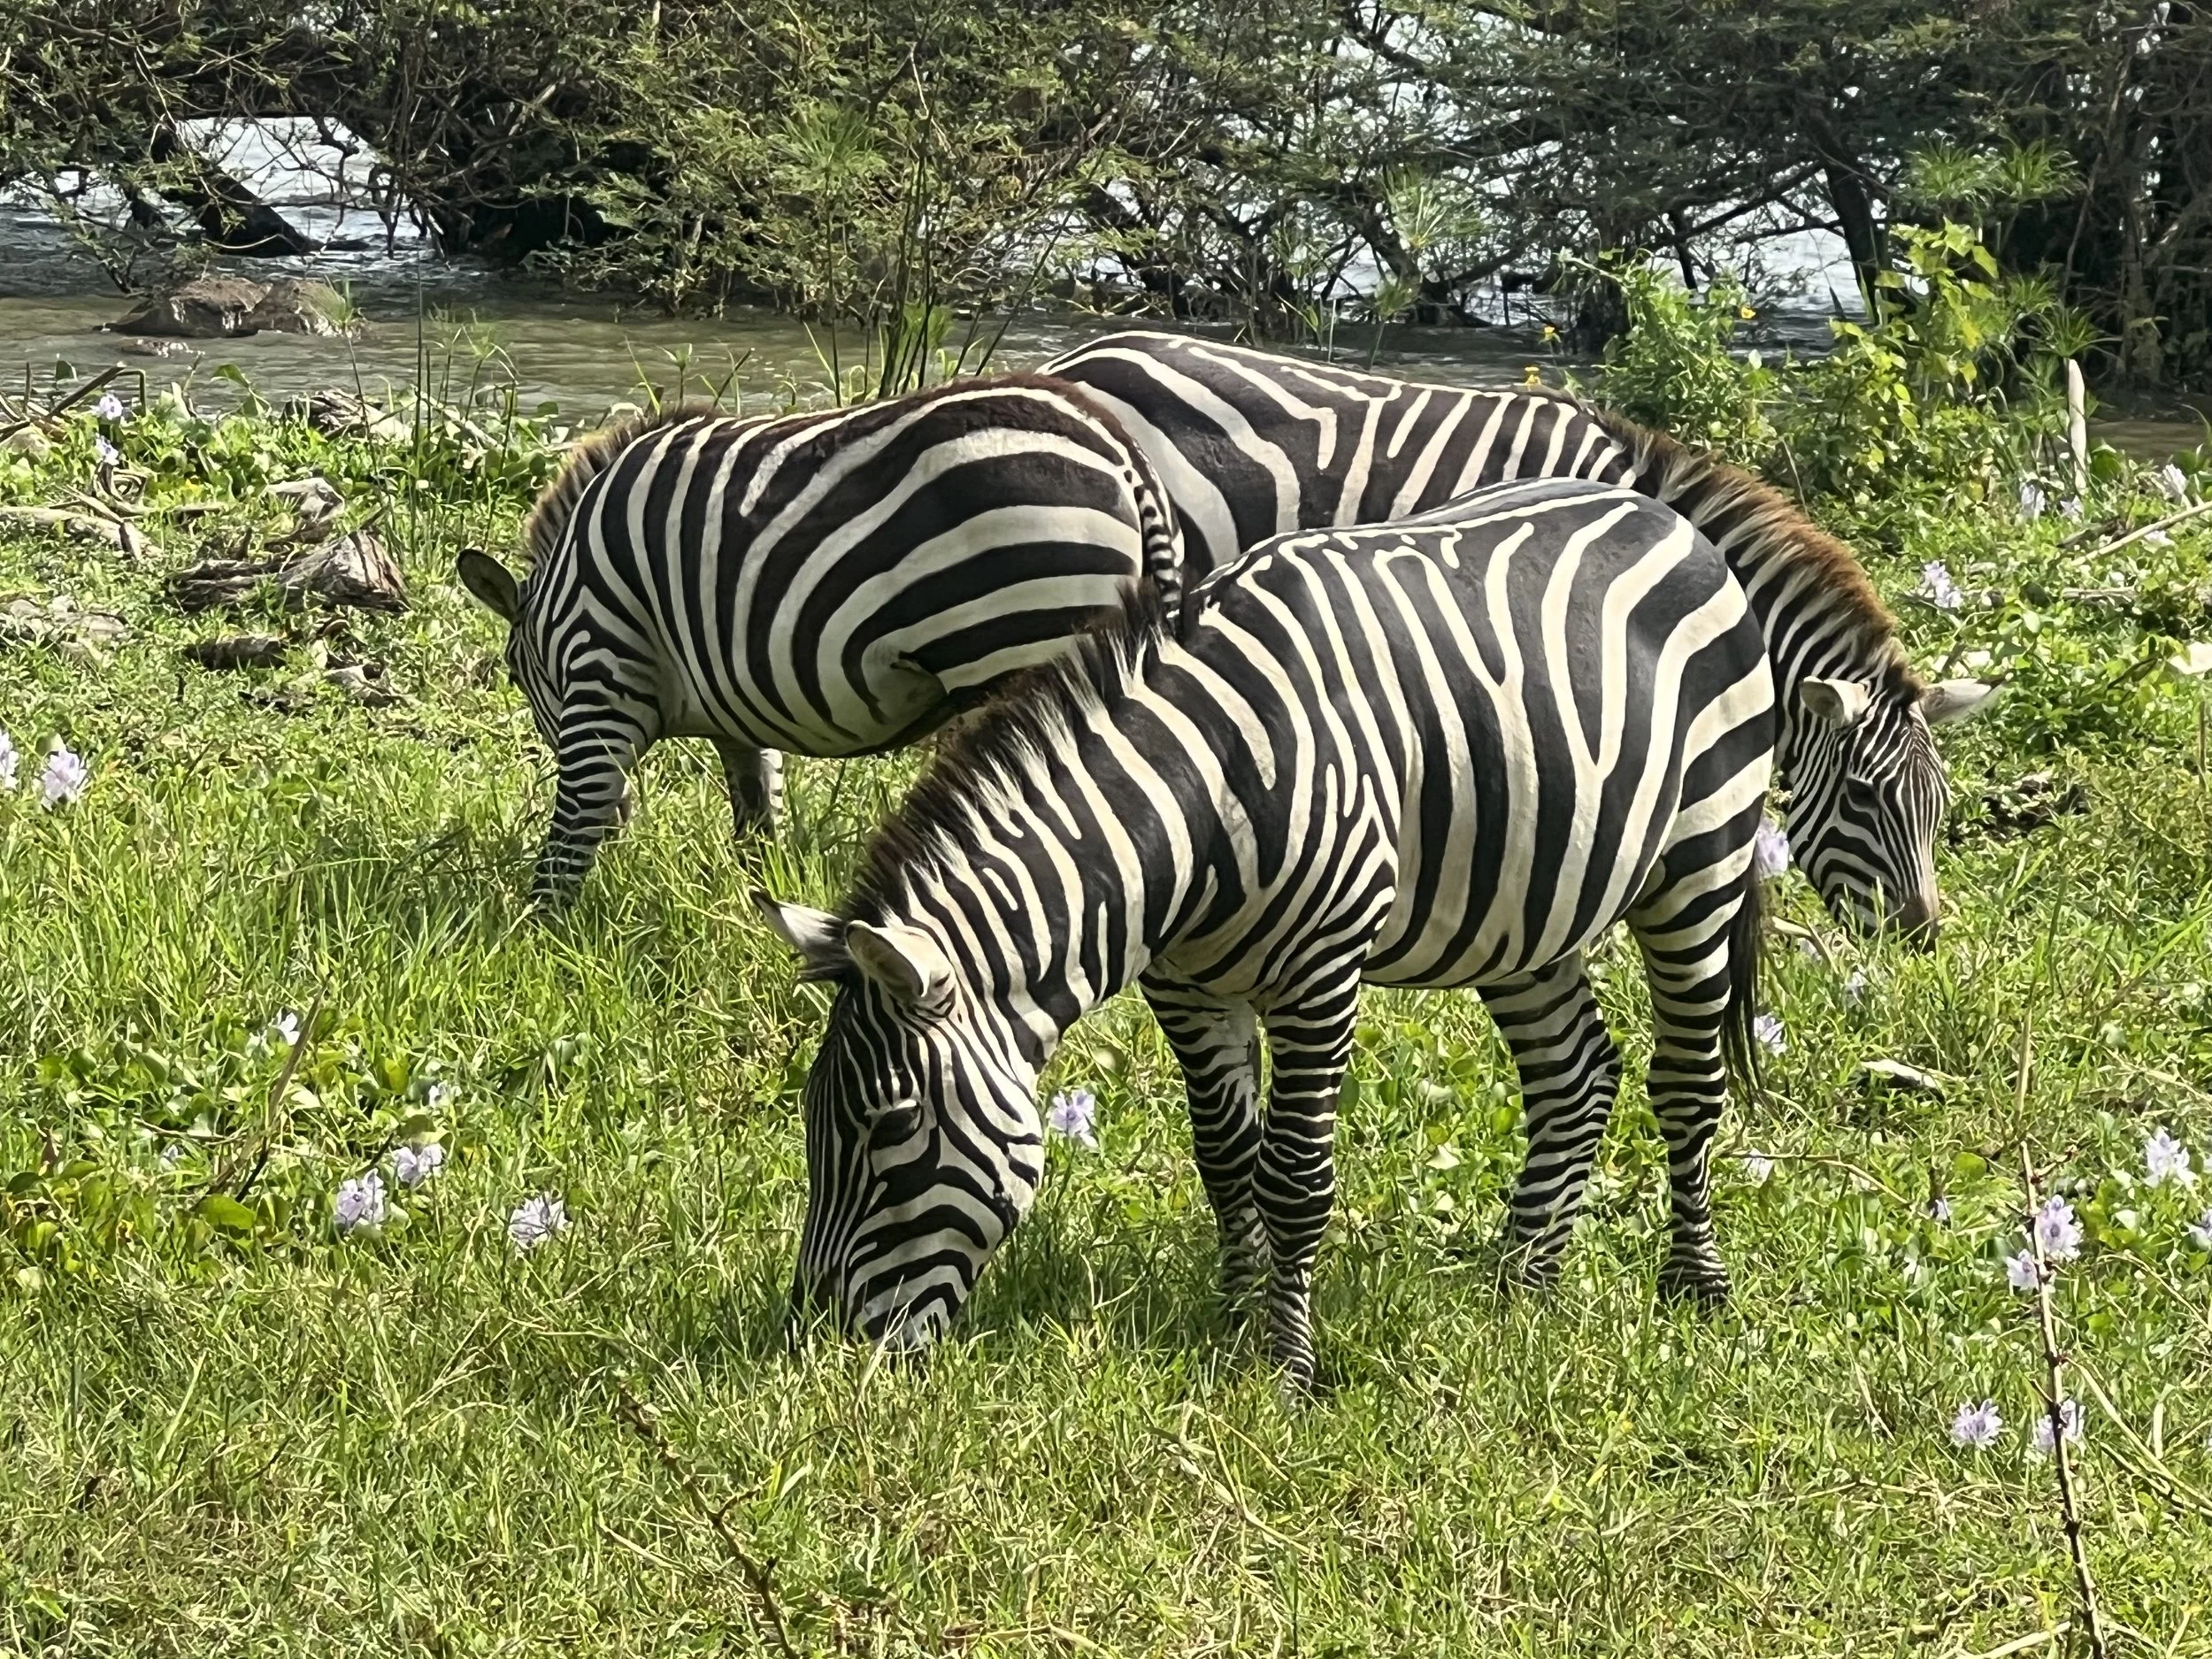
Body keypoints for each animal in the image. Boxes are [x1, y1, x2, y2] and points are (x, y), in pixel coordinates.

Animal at [455, 375, 1184, 906]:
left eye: (516, 677)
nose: (624, 821)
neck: (565, 589)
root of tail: (1117, 448)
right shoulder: (734, 701)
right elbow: (757, 808)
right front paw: (759, 911)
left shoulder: (602, 665)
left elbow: (576, 812)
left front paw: (539, 930)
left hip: (1017, 636)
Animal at [758, 476, 1776, 1387]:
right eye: (811, 1119)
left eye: (891, 1126)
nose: (818, 1347)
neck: (1200, 800)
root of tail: (1664, 515)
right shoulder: (1185, 985)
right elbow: (1224, 1160)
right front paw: (1234, 1317)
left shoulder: (1320, 977)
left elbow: (1291, 1176)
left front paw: (1285, 1369)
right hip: (1524, 909)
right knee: (1574, 1074)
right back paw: (1520, 1287)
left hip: (1704, 858)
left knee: (1686, 1083)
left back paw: (1694, 1288)